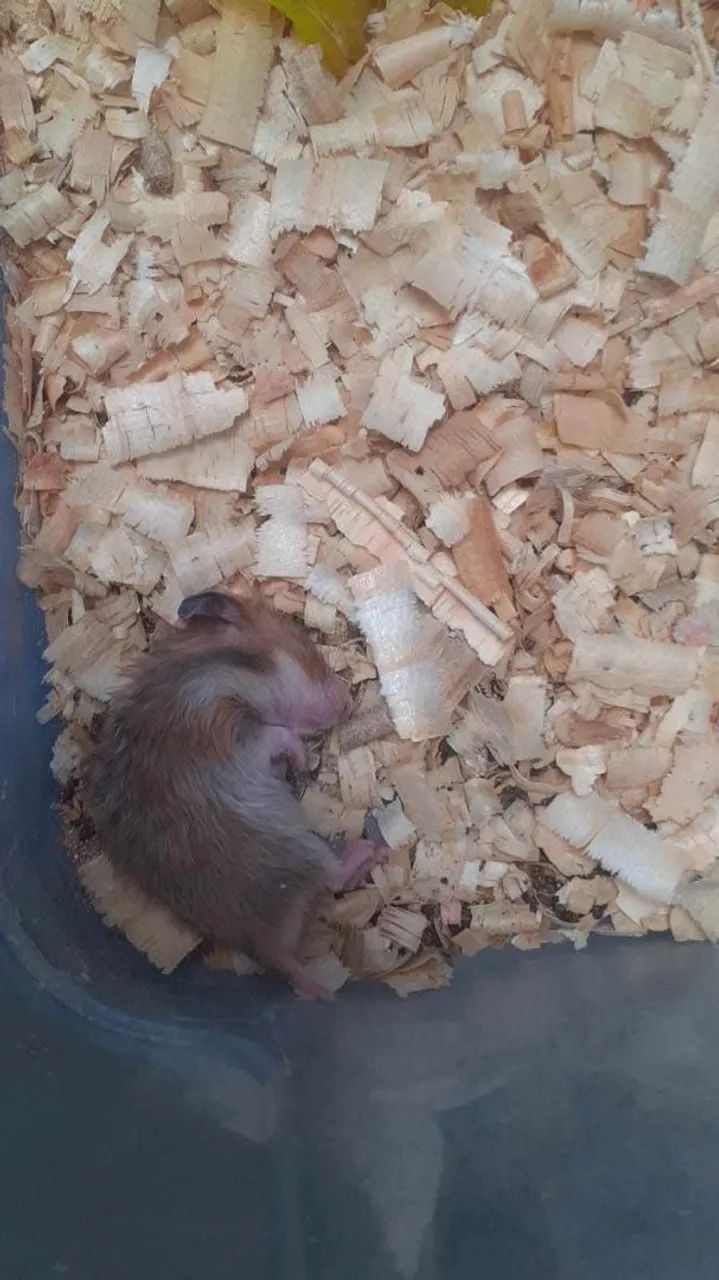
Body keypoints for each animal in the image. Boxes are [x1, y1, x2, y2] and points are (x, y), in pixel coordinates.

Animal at [85, 590, 387, 999]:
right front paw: (300, 758)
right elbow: (279, 735)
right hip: (298, 848)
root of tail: (265, 947)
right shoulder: (232, 729)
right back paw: (370, 850)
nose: (347, 703)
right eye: (305, 649)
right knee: (334, 876)